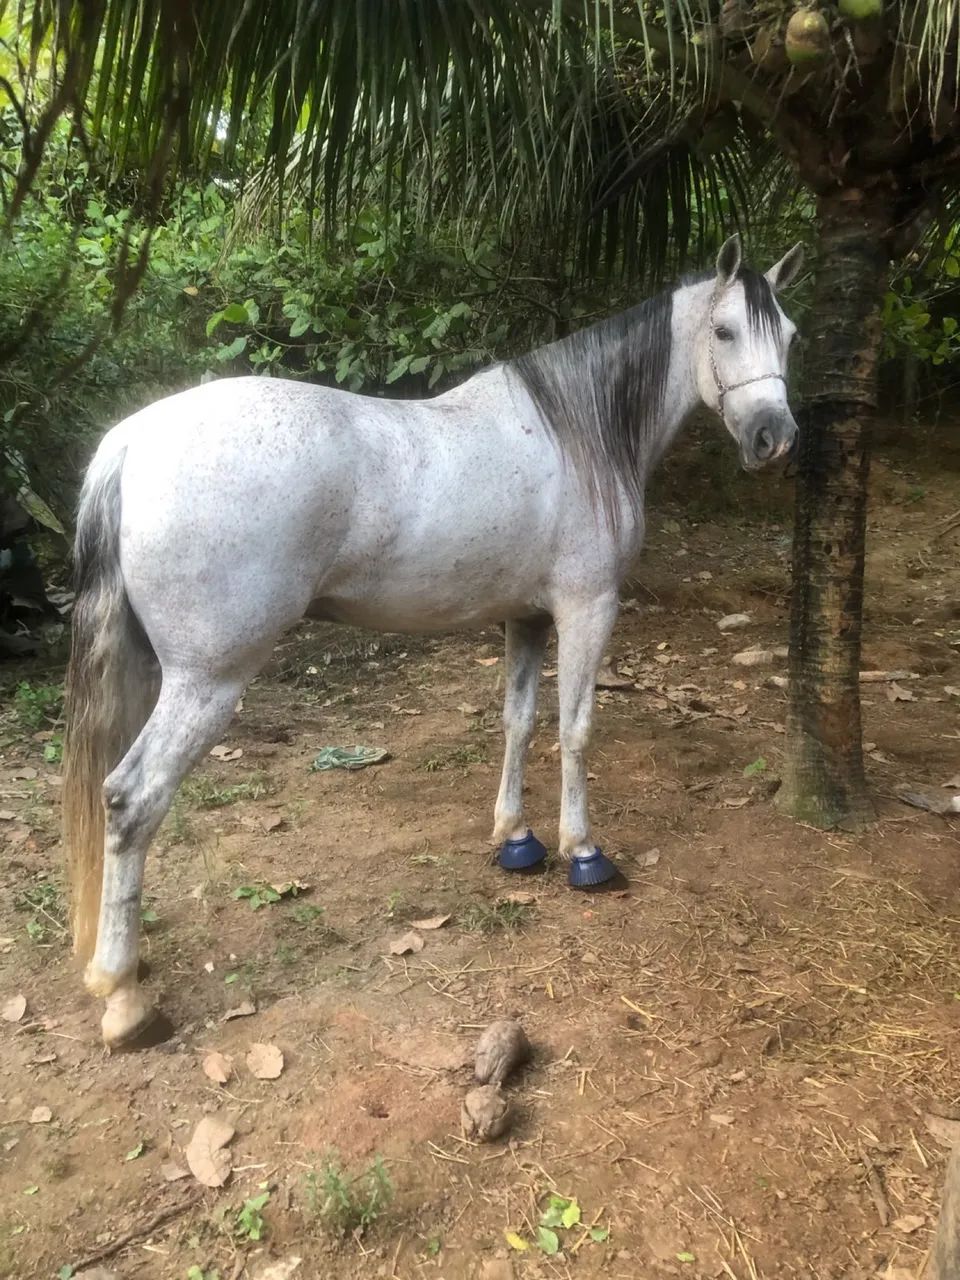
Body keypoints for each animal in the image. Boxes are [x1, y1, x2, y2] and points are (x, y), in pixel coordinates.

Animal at [63, 232, 803, 1047]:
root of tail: (132, 442)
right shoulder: (587, 609)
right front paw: (583, 852)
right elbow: (576, 729)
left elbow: (518, 721)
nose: (774, 439)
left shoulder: (526, 618)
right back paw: (123, 995)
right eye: (724, 331)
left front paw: (516, 838)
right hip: (206, 682)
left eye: (790, 335)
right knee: (131, 799)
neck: (575, 433)